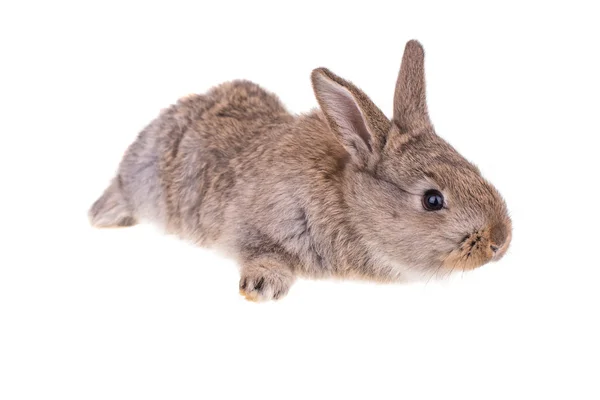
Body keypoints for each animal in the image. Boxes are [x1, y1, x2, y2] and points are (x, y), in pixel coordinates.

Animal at [88, 40, 510, 302]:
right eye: (433, 200)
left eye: (471, 165)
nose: (500, 241)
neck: (349, 205)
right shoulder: (252, 224)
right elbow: (258, 252)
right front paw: (262, 287)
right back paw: (103, 216)